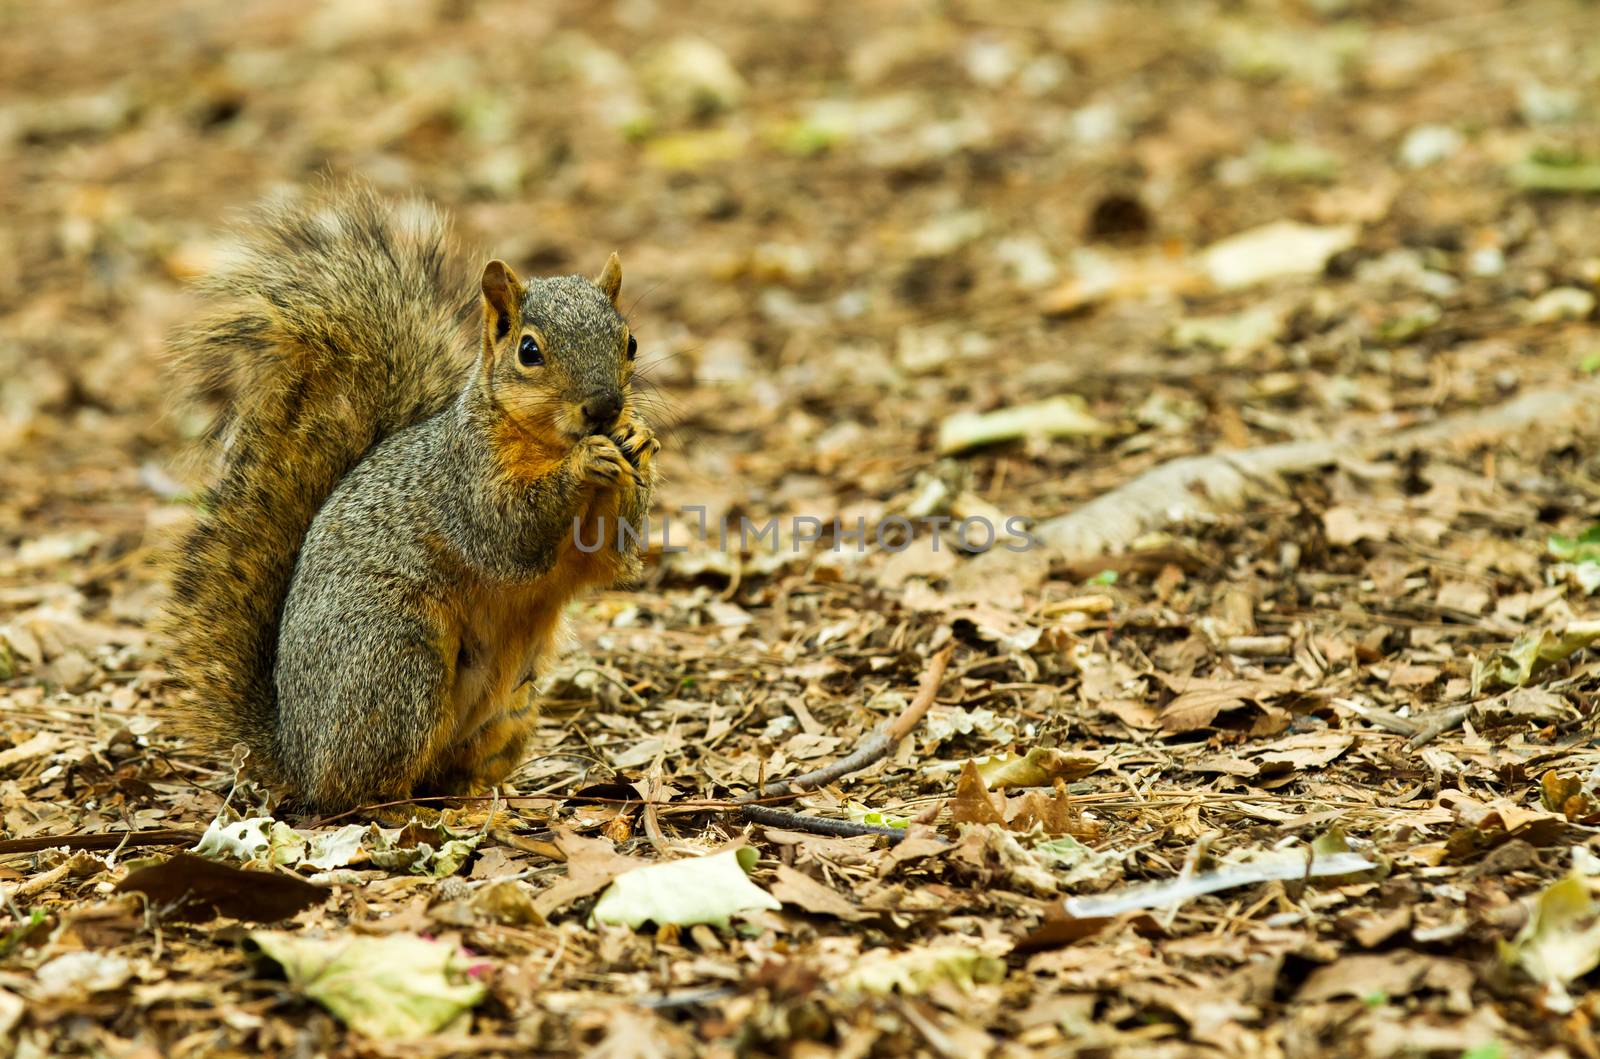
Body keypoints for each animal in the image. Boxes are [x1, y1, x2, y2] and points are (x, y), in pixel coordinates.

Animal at [162, 186, 656, 812]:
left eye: (630, 342)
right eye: (529, 351)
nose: (605, 407)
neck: (544, 441)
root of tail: (298, 757)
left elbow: (610, 558)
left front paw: (639, 443)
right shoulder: (463, 480)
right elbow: (509, 533)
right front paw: (587, 460)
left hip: (511, 708)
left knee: (448, 771)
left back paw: (483, 799)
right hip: (398, 660)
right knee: (363, 788)